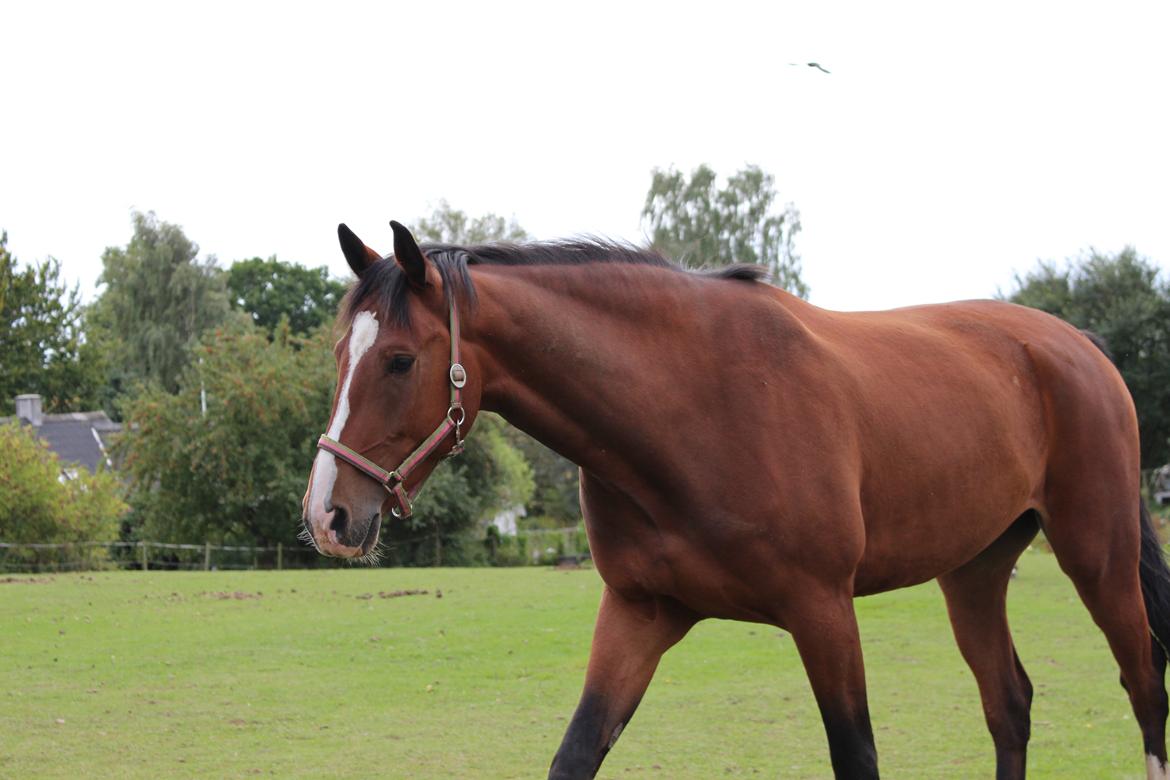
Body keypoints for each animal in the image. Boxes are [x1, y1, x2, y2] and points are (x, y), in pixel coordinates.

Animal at [299, 221, 1170, 780]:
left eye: (400, 360)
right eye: (340, 353)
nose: (327, 516)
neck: (693, 408)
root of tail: (1077, 346)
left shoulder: (824, 610)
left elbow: (856, 755)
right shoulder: (639, 613)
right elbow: (575, 754)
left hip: (1099, 559)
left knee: (1143, 687)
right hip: (975, 572)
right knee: (1009, 704)